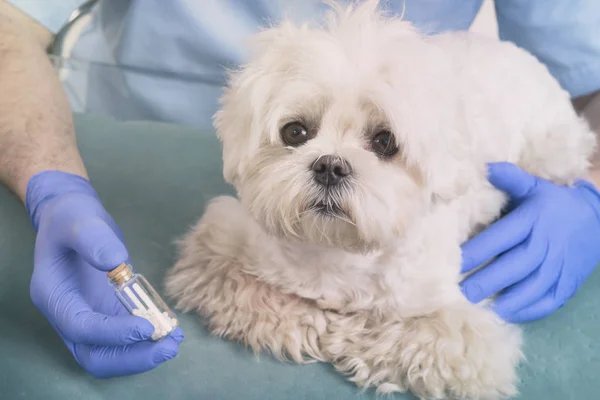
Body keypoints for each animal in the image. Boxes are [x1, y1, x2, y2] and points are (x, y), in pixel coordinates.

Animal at [163, 1, 596, 398]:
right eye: (295, 132)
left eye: (385, 141)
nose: (330, 166)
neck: (341, 254)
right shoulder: (221, 249)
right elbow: (255, 294)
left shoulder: (460, 335)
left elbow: (406, 337)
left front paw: (342, 330)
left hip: (552, 154)